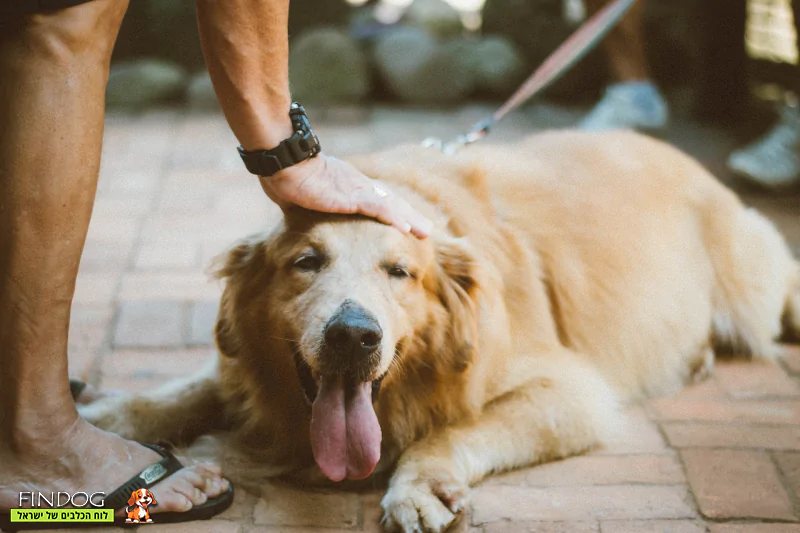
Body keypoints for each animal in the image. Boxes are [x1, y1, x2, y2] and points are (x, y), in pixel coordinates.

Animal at [81, 130, 800, 532]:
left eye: (400, 271)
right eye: (306, 262)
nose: (353, 336)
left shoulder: (571, 390)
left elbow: (455, 428)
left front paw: (421, 484)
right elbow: (188, 388)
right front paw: (110, 416)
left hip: (756, 287)